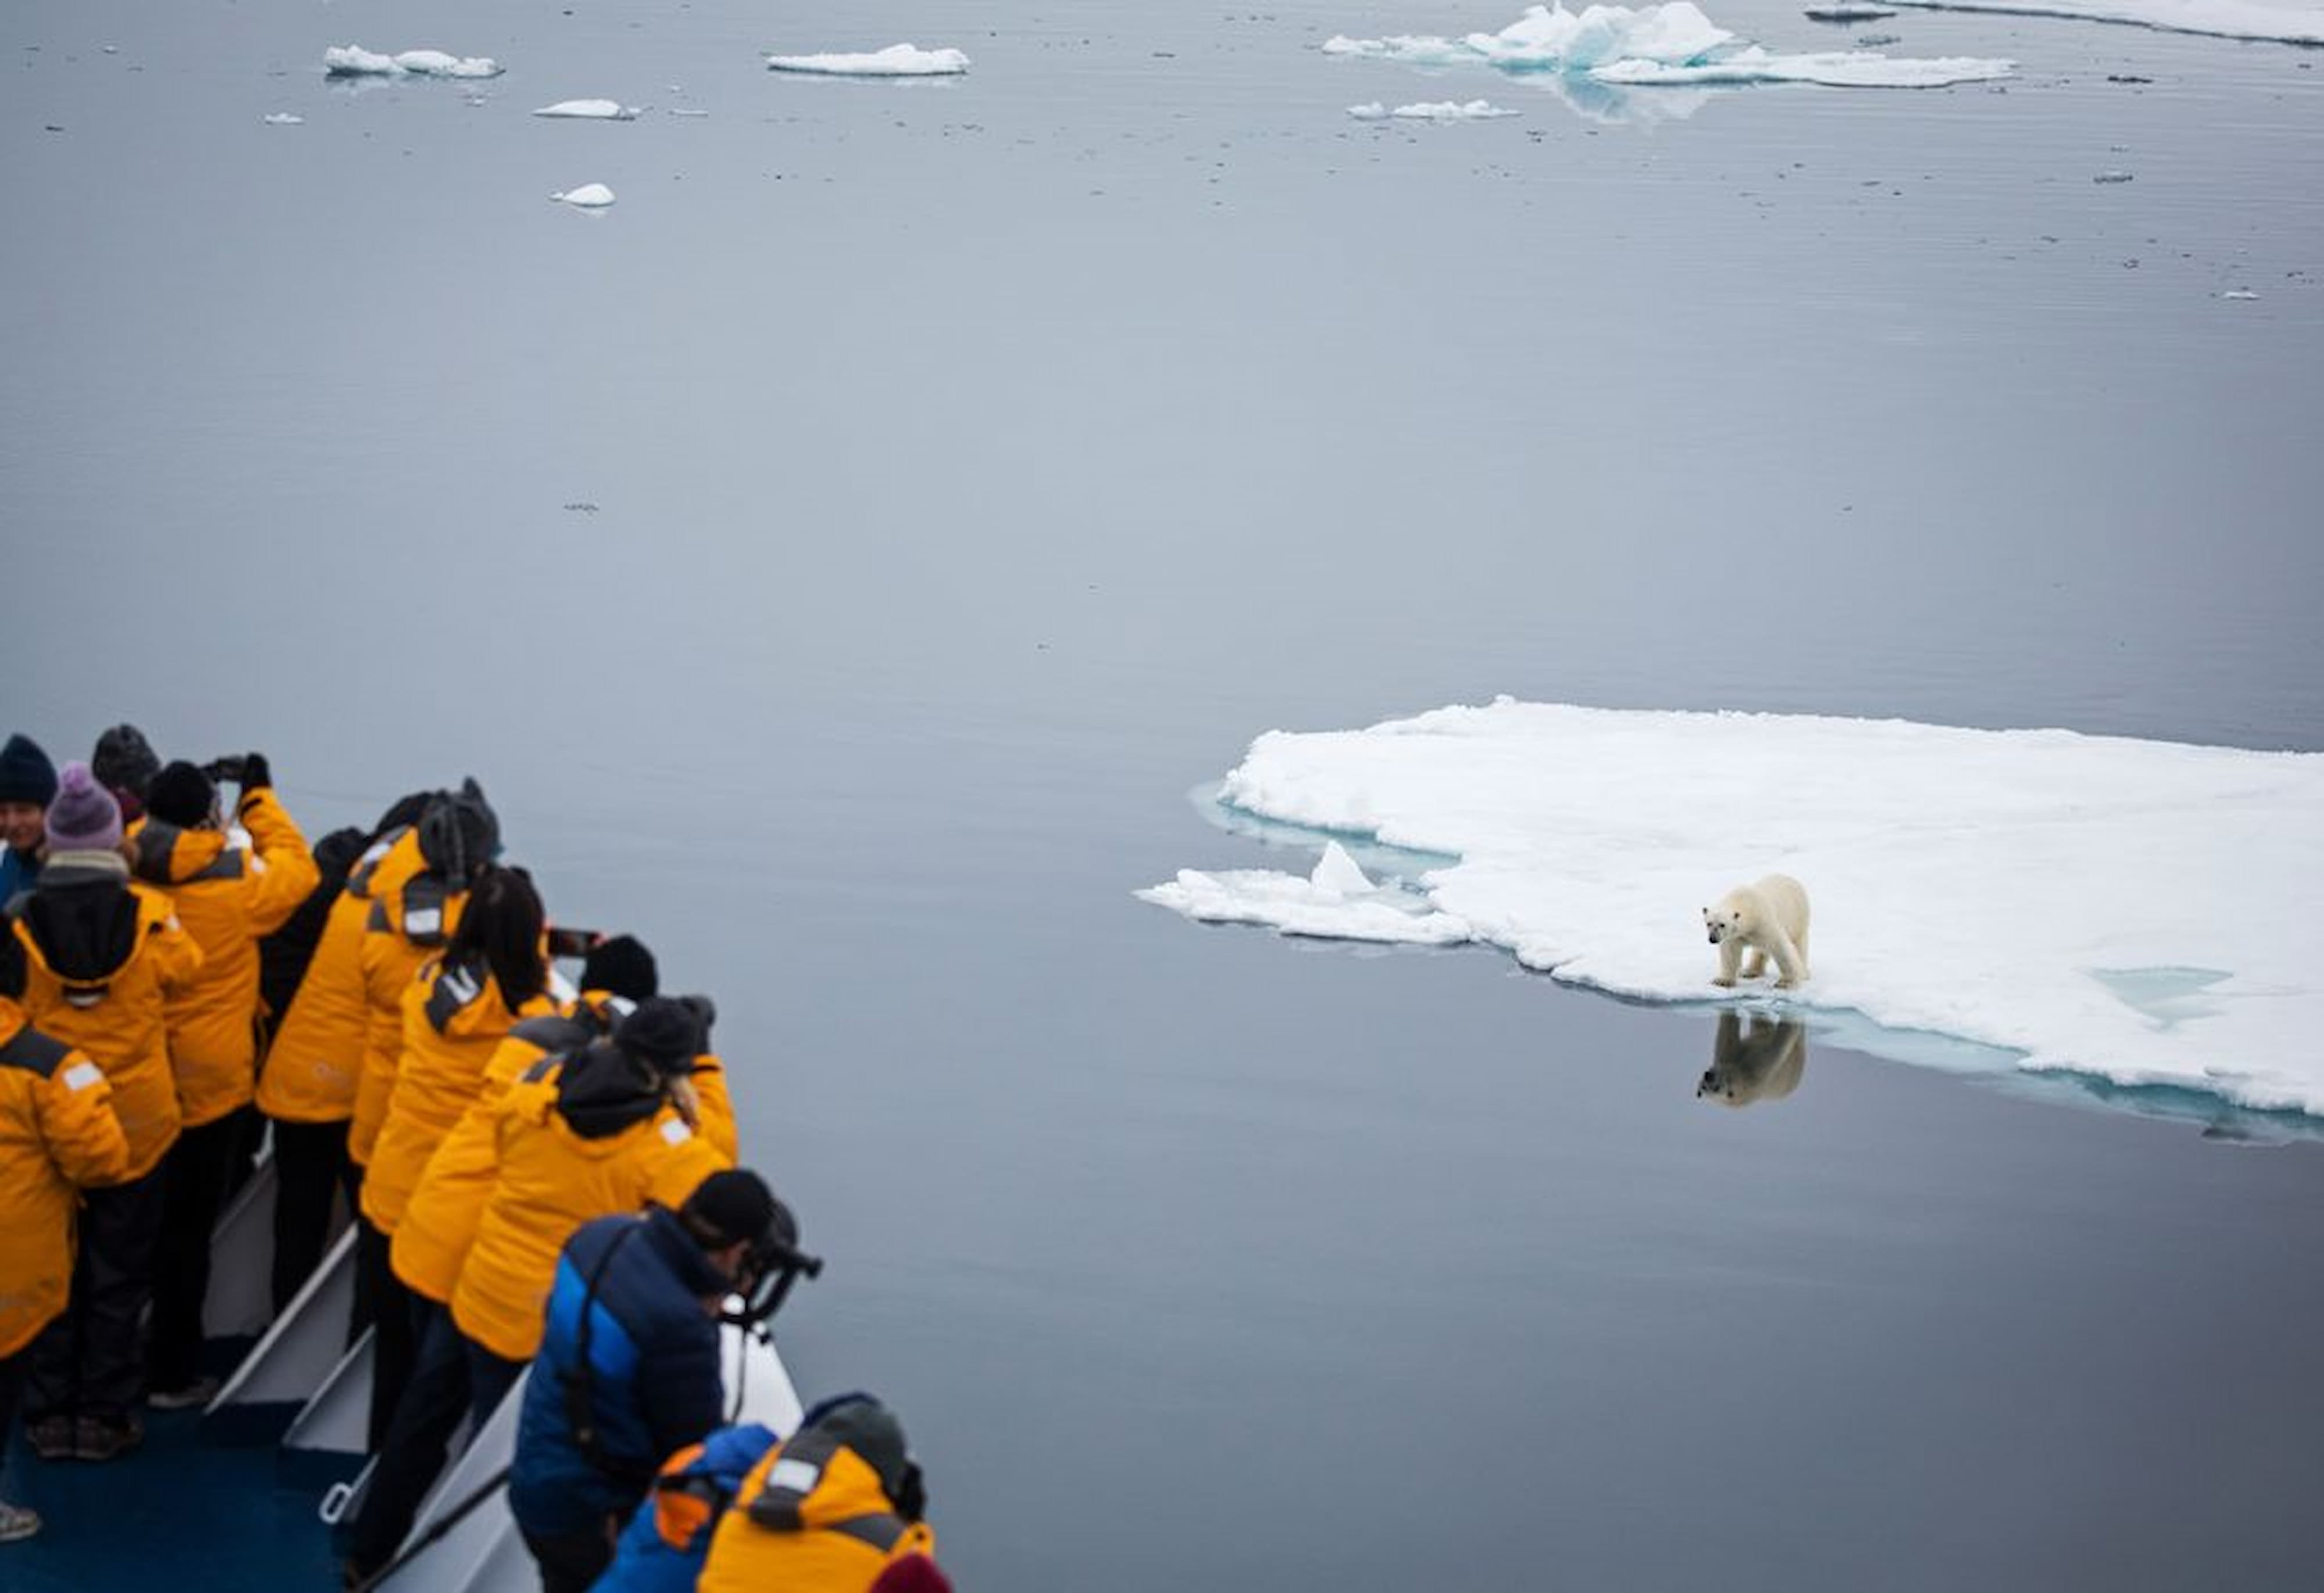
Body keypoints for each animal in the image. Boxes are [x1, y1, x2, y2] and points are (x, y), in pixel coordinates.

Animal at [1702, 873, 1810, 989]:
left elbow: (1780, 947)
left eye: (1722, 925)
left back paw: (1804, 973)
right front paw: (1722, 981)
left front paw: (1785, 982)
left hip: (1798, 918)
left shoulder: (1763, 923)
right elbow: (1730, 953)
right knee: (1761, 951)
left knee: (1798, 945)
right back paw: (1750, 972)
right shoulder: (1735, 936)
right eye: (1709, 923)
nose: (1713, 939)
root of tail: (1789, 878)